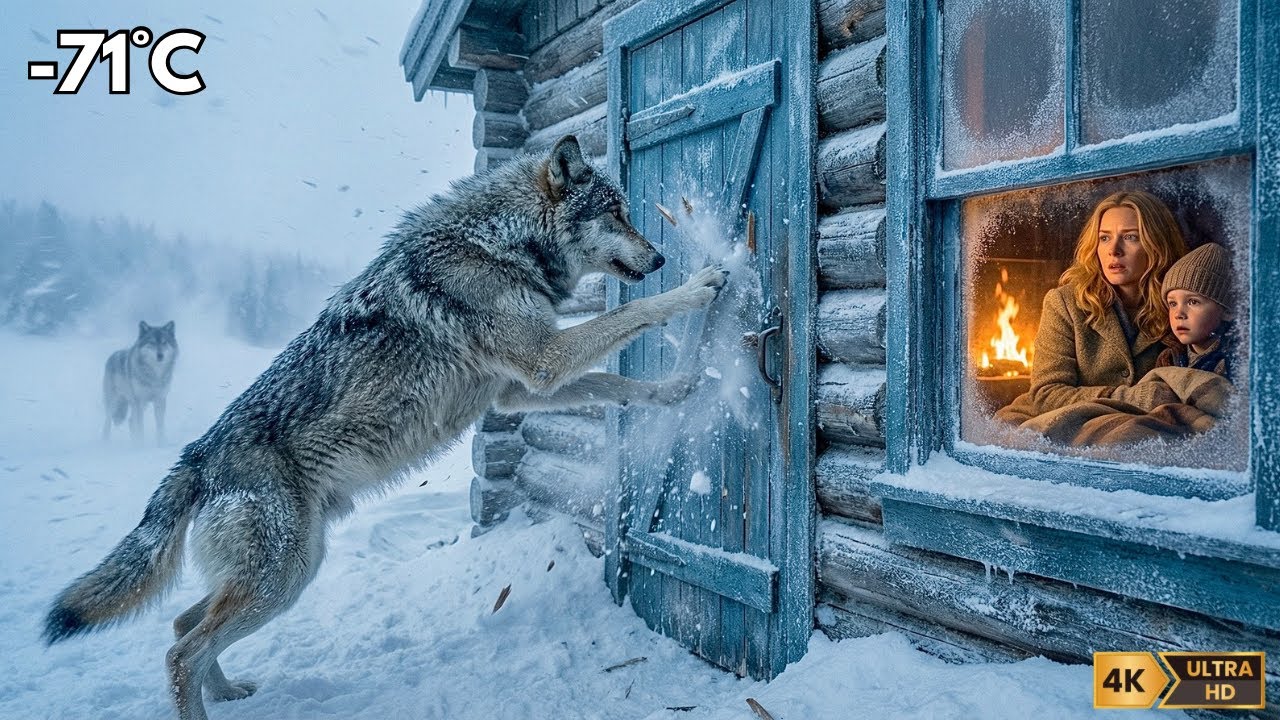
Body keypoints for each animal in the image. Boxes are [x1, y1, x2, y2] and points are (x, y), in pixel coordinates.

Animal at [43, 136, 726, 720]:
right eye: (616, 214)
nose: (661, 256)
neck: (500, 245)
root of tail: (196, 456)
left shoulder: (516, 389)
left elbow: (618, 384)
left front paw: (674, 390)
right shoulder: (544, 360)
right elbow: (636, 312)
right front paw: (702, 283)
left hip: (288, 573)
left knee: (184, 625)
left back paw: (230, 691)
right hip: (281, 578)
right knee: (181, 651)